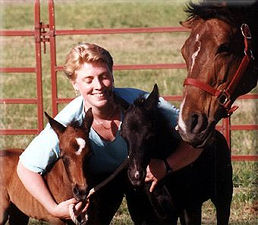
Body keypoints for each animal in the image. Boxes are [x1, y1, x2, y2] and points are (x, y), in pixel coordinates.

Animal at [122, 85, 233, 225]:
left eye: (150, 134)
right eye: (123, 135)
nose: (135, 176)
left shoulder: (191, 208)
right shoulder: (162, 212)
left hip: (223, 196)